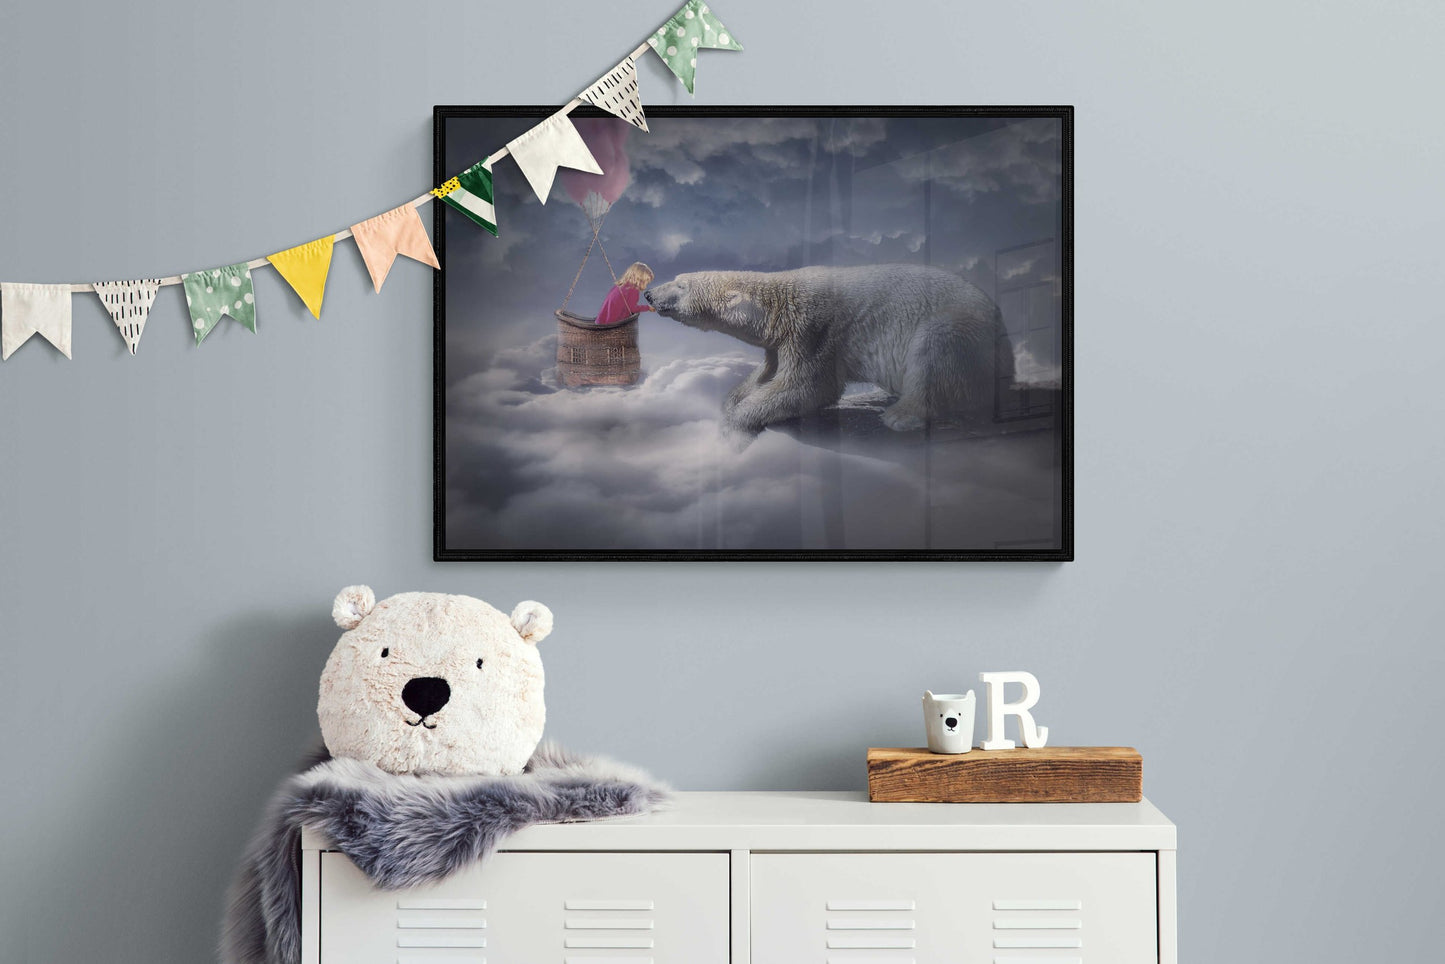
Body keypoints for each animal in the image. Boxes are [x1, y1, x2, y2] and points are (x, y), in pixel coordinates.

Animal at [644, 264, 1014, 435]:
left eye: (680, 285)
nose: (648, 293)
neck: (778, 304)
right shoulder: (781, 342)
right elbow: (767, 372)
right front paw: (733, 399)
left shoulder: (813, 331)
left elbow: (810, 386)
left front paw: (737, 420)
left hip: (963, 331)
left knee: (934, 351)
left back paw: (900, 413)